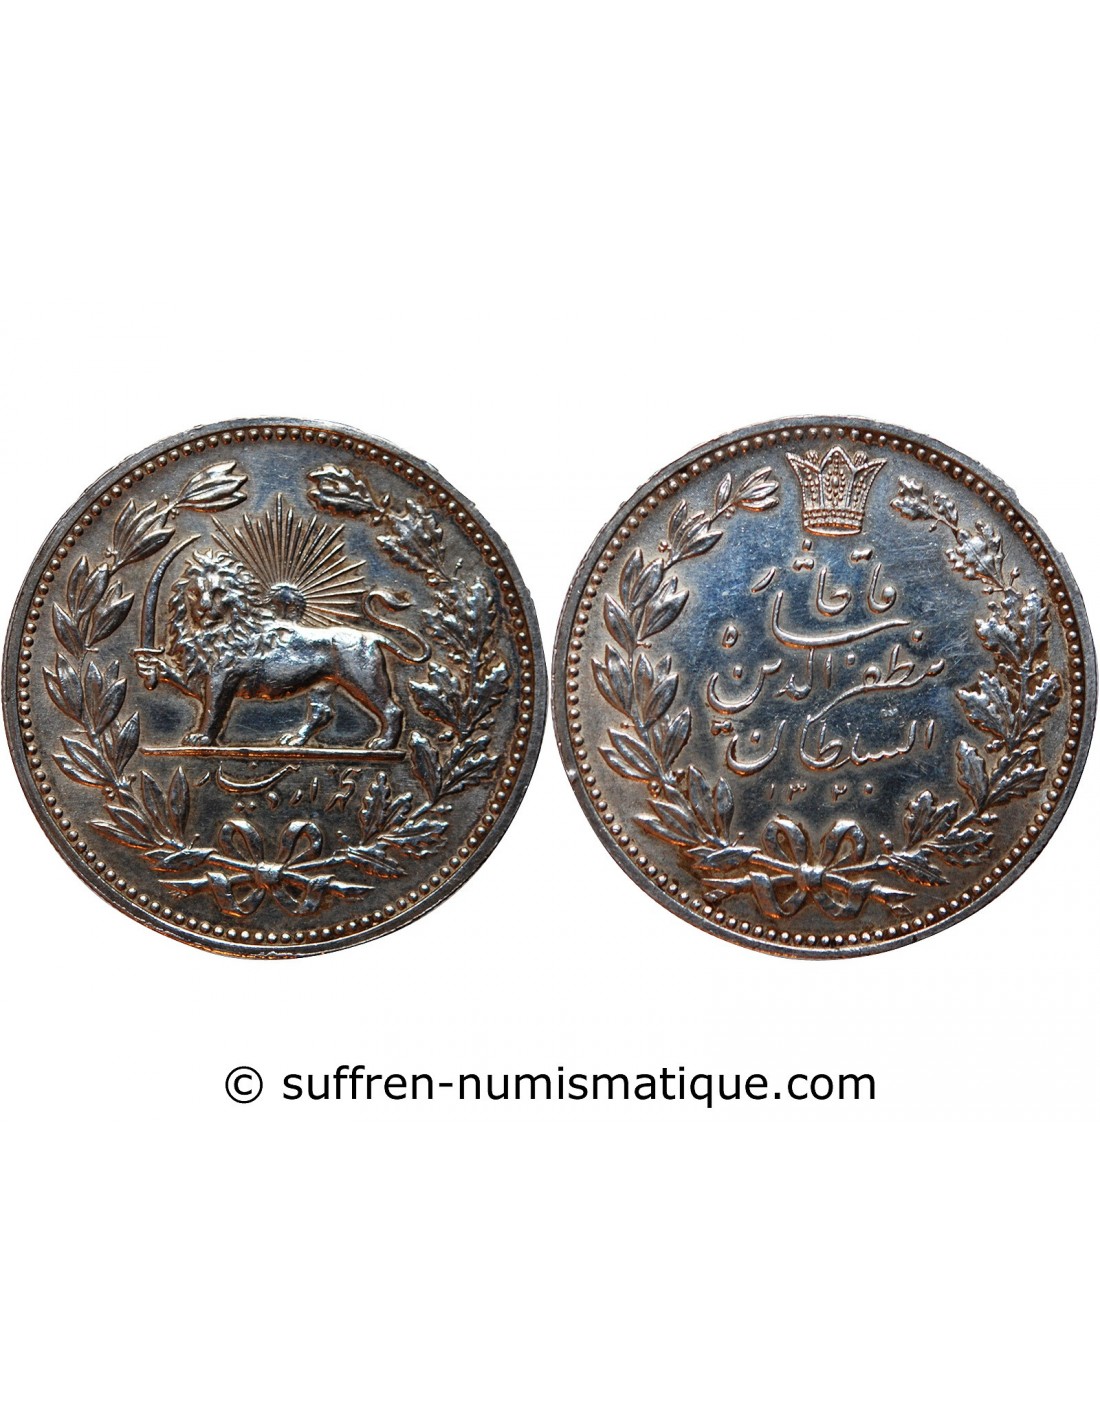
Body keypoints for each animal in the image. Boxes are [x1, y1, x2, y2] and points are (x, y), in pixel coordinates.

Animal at [133, 550, 428, 748]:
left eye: (218, 592)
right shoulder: (203, 672)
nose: (204, 610)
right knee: (322, 712)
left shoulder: (222, 676)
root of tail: (372, 636)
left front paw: (202, 737)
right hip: (323, 683)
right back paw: (294, 740)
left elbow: (213, 709)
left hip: (363, 678)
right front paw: (150, 665)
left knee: (392, 709)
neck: (214, 634)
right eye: (195, 593)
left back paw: (383, 744)